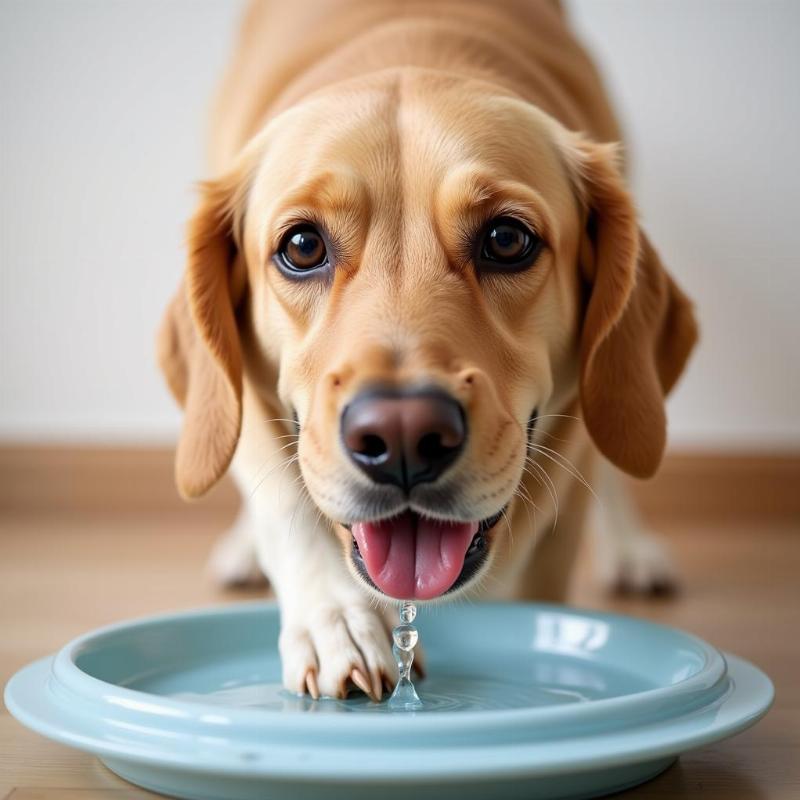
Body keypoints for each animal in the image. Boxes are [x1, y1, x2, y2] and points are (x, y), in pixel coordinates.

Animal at [156, 0, 692, 700]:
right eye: (301, 246)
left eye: (507, 239)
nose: (404, 437)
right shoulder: (232, 386)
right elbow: (284, 503)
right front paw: (339, 620)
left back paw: (634, 549)